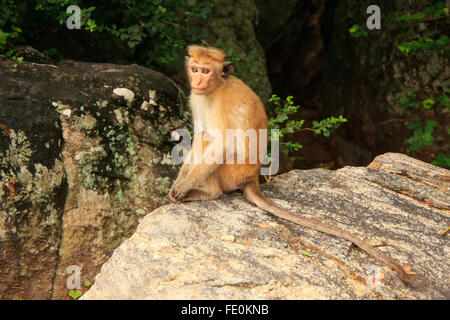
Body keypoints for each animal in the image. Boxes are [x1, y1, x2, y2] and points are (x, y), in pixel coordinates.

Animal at [168, 44, 414, 284]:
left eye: (206, 70)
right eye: (195, 69)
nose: (197, 81)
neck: (216, 88)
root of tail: (253, 178)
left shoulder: (223, 103)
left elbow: (221, 144)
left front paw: (183, 186)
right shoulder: (196, 98)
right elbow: (197, 135)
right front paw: (178, 183)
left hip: (232, 172)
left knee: (210, 142)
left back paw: (209, 193)